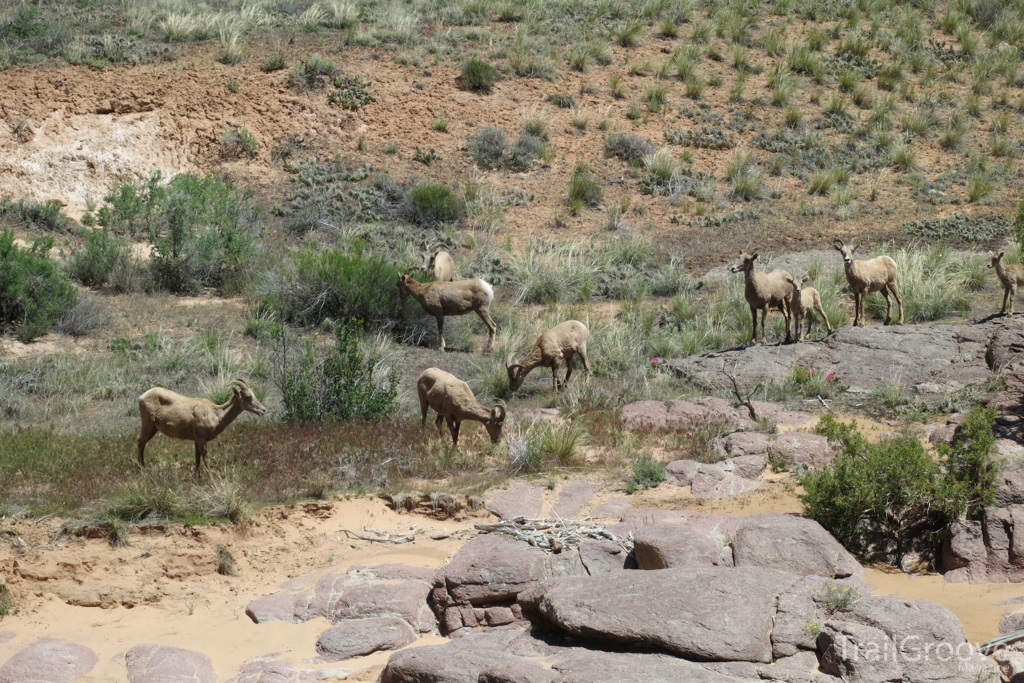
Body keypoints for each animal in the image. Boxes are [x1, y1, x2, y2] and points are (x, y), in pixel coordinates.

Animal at [138, 376, 266, 479]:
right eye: (248, 397)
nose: (263, 410)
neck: (216, 414)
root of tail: (141, 397)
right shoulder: (201, 439)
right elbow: (205, 459)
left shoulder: (196, 440)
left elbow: (197, 458)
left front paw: (197, 476)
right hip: (147, 424)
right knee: (140, 443)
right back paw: (142, 469)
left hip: (153, 428)